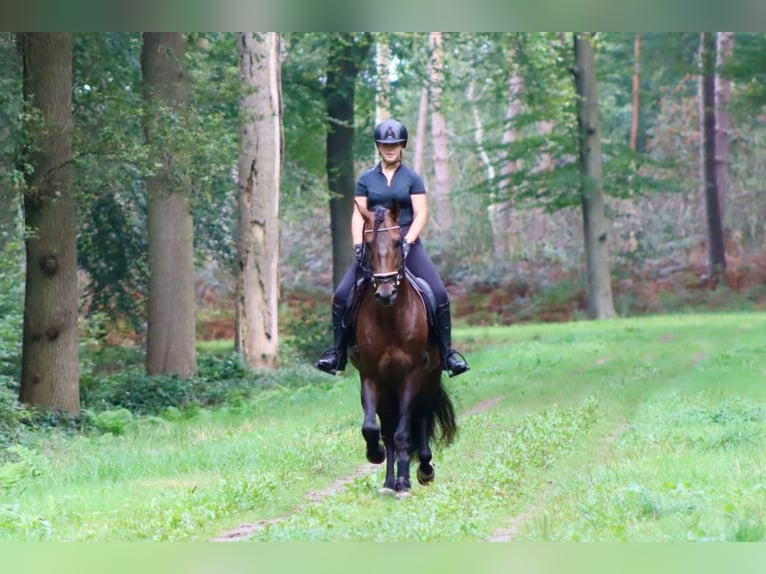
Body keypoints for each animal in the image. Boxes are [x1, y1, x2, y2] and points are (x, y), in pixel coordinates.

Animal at [348, 201, 457, 496]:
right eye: (368, 244)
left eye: (398, 242)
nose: (386, 294)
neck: (390, 317)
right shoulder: (371, 376)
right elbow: (373, 428)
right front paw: (376, 455)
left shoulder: (411, 374)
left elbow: (404, 432)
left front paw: (405, 482)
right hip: (389, 387)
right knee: (388, 426)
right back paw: (389, 481)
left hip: (428, 379)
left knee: (420, 419)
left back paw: (423, 469)